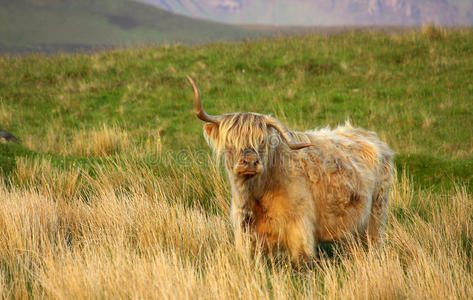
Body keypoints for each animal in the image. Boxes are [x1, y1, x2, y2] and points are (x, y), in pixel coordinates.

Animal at [186, 77, 392, 262]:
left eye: (262, 141)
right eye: (230, 141)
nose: (250, 162)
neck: (255, 193)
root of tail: (373, 138)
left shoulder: (299, 228)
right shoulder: (246, 232)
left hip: (376, 213)